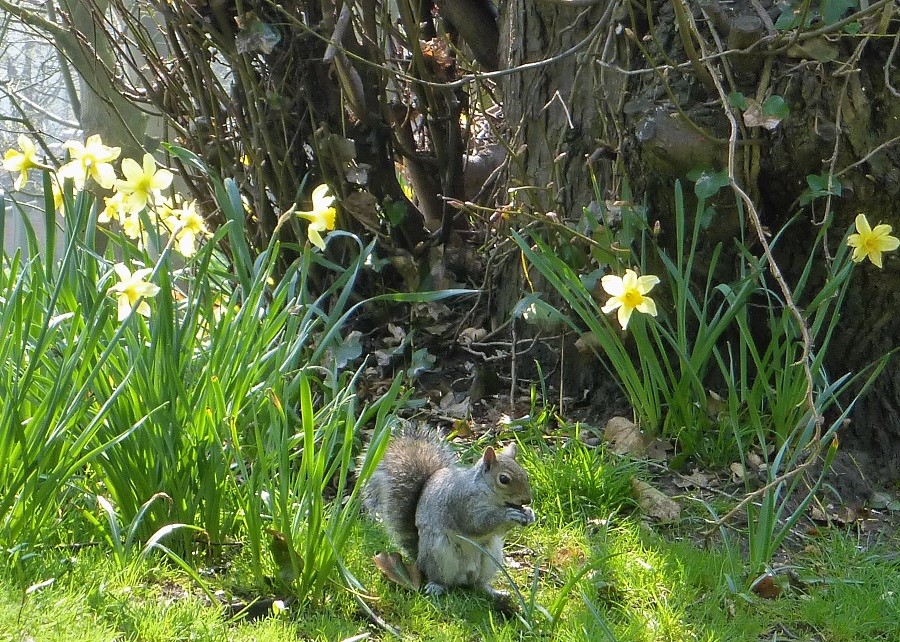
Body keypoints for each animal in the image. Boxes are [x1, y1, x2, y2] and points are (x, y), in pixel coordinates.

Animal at [364, 424, 536, 596]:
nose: (527, 500)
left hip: (490, 556)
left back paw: (493, 592)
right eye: (503, 479)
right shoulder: (461, 503)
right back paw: (437, 586)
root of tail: (419, 560)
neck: (488, 493)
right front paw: (508, 515)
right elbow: (477, 524)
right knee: (442, 579)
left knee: (478, 584)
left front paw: (529, 513)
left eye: (526, 475)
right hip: (439, 554)